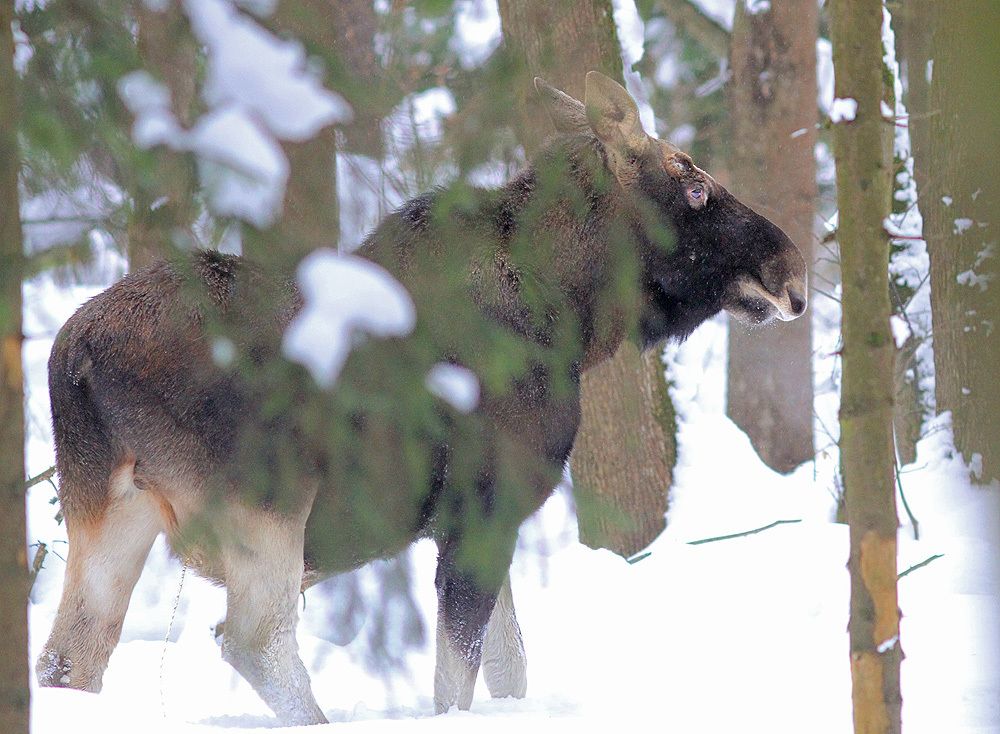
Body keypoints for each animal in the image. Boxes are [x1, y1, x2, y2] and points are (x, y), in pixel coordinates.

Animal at [36, 72, 807, 725]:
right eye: (693, 185)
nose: (792, 271)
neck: (577, 318)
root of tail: (75, 354)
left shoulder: (482, 518)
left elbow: (509, 668)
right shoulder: (483, 509)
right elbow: (457, 682)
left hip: (109, 510)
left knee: (69, 656)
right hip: (268, 501)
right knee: (254, 640)